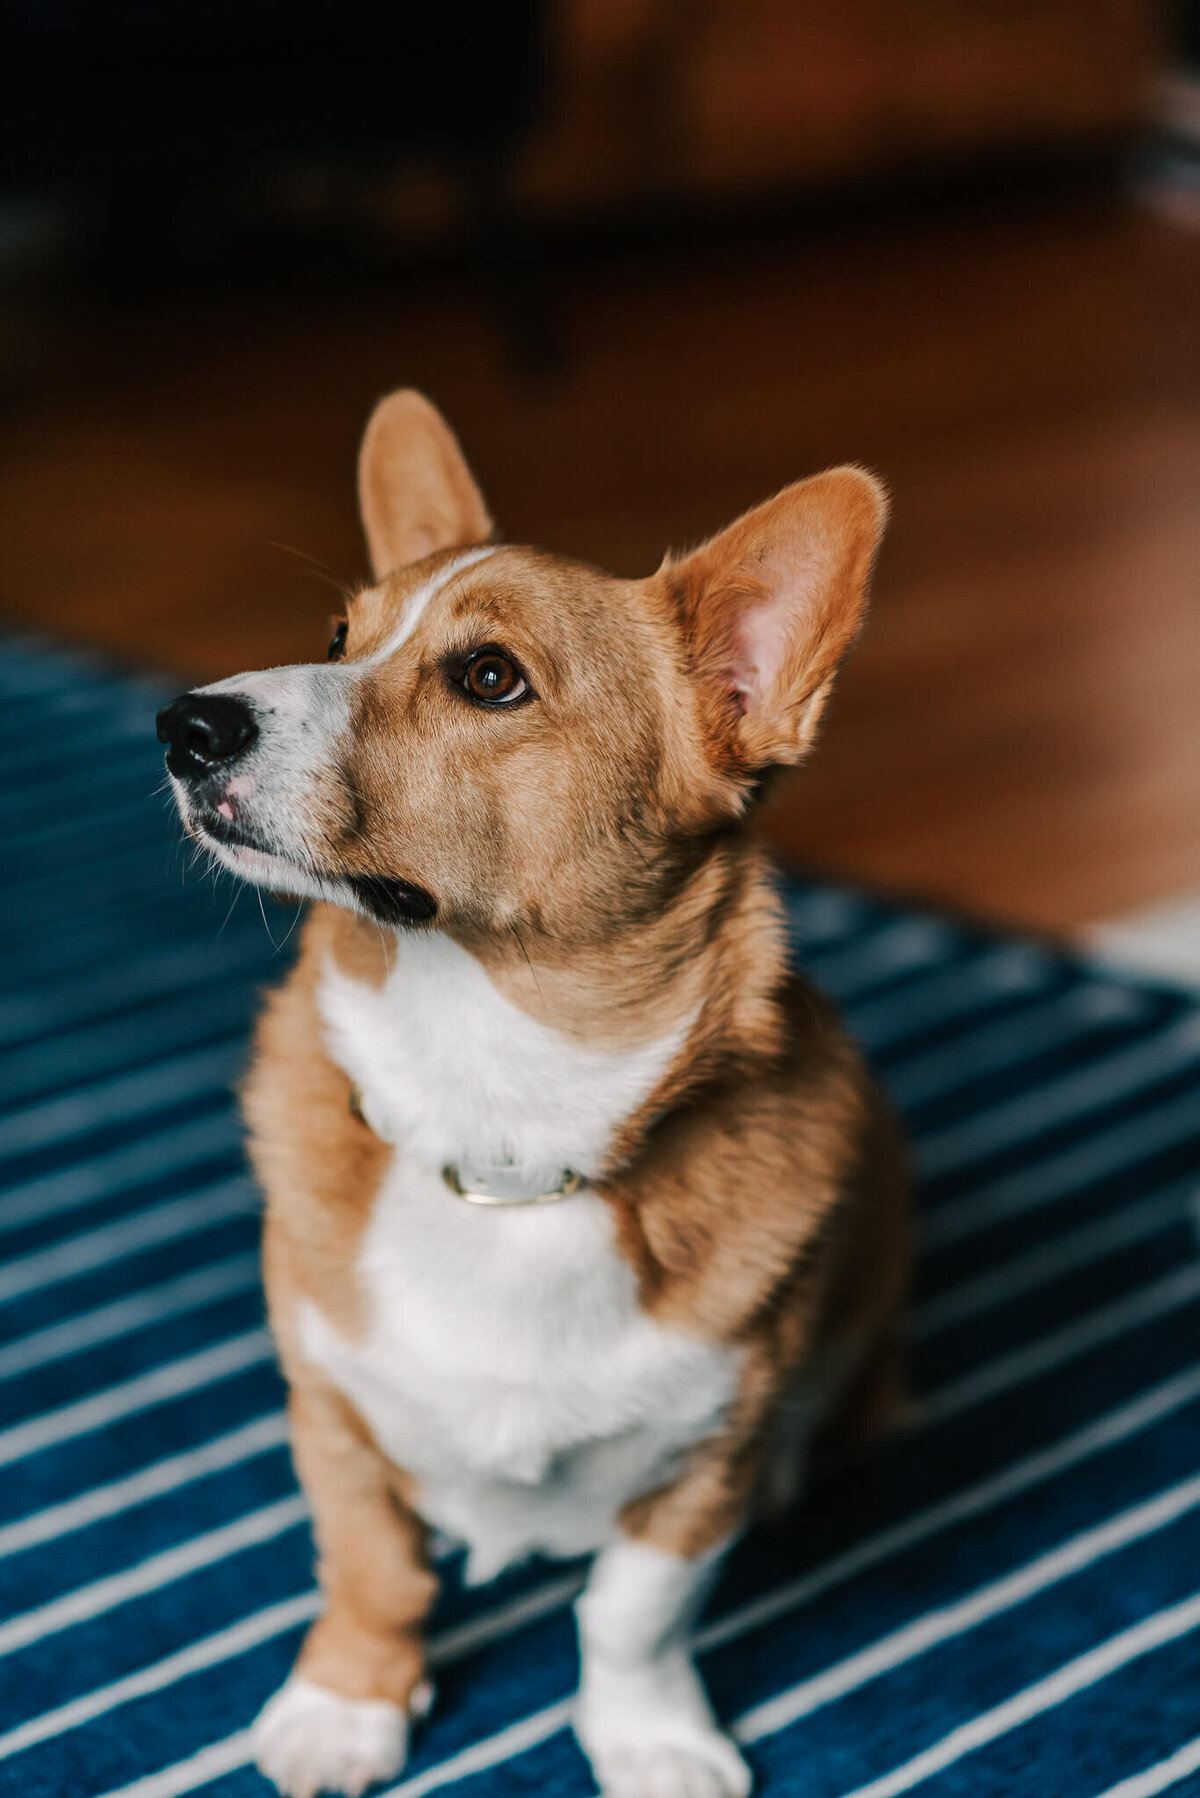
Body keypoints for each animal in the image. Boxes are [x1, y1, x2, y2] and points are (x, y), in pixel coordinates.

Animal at [154, 393, 906, 1798]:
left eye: (489, 677)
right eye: (335, 636)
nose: (184, 725)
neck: (499, 1130)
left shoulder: (697, 1471)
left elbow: (629, 1614)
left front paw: (651, 1739)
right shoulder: (332, 1413)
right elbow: (372, 1568)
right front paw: (345, 1707)